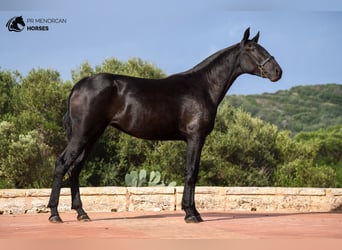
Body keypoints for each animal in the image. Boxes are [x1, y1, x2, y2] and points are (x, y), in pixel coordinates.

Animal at [48, 28, 284, 224]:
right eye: (253, 50)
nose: (277, 72)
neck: (203, 87)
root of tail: (79, 85)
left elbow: (192, 172)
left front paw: (194, 212)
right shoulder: (195, 137)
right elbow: (191, 172)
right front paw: (191, 214)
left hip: (92, 135)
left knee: (76, 168)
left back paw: (82, 213)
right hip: (82, 134)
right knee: (62, 164)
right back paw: (54, 214)